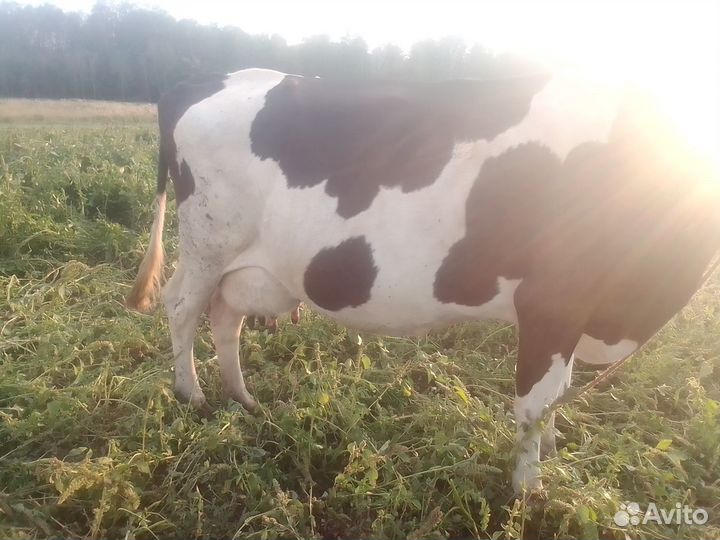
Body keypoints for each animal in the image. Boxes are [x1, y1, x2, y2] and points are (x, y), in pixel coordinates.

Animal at [126, 68, 720, 492]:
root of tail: (207, 80)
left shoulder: (571, 314)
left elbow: (558, 392)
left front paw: (551, 452)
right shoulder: (552, 301)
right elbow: (534, 403)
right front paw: (529, 493)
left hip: (246, 265)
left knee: (225, 318)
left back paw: (243, 399)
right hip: (208, 244)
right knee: (182, 307)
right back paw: (193, 395)